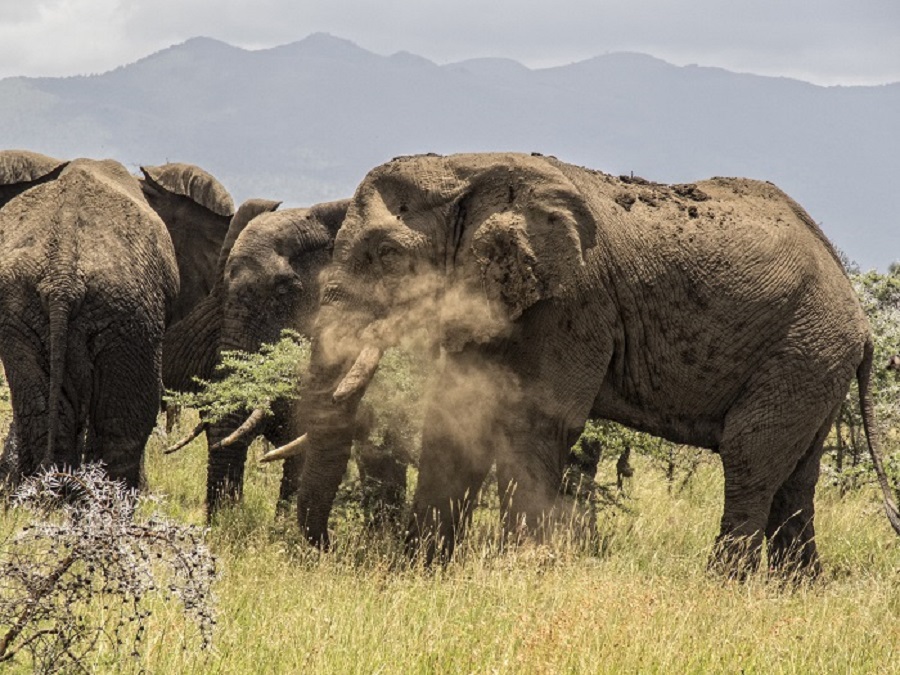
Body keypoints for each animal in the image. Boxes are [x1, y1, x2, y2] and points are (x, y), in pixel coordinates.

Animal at [272, 153, 900, 576]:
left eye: (388, 256)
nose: (322, 552)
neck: (468, 168)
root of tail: (858, 312)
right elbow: (458, 418)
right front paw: (420, 570)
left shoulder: (573, 300)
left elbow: (534, 419)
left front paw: (521, 571)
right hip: (813, 359)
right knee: (797, 477)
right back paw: (794, 590)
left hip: (803, 347)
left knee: (751, 458)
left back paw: (726, 586)